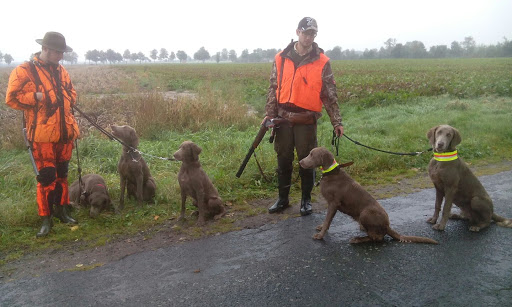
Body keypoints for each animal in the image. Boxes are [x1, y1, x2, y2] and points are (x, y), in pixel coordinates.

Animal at [298, 147, 438, 245]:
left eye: (312, 154)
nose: (300, 161)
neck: (330, 173)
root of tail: (387, 226)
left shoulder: (334, 203)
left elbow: (328, 220)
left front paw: (320, 235)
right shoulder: (331, 204)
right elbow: (326, 220)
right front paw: (321, 227)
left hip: (365, 213)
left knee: (377, 238)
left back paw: (357, 239)